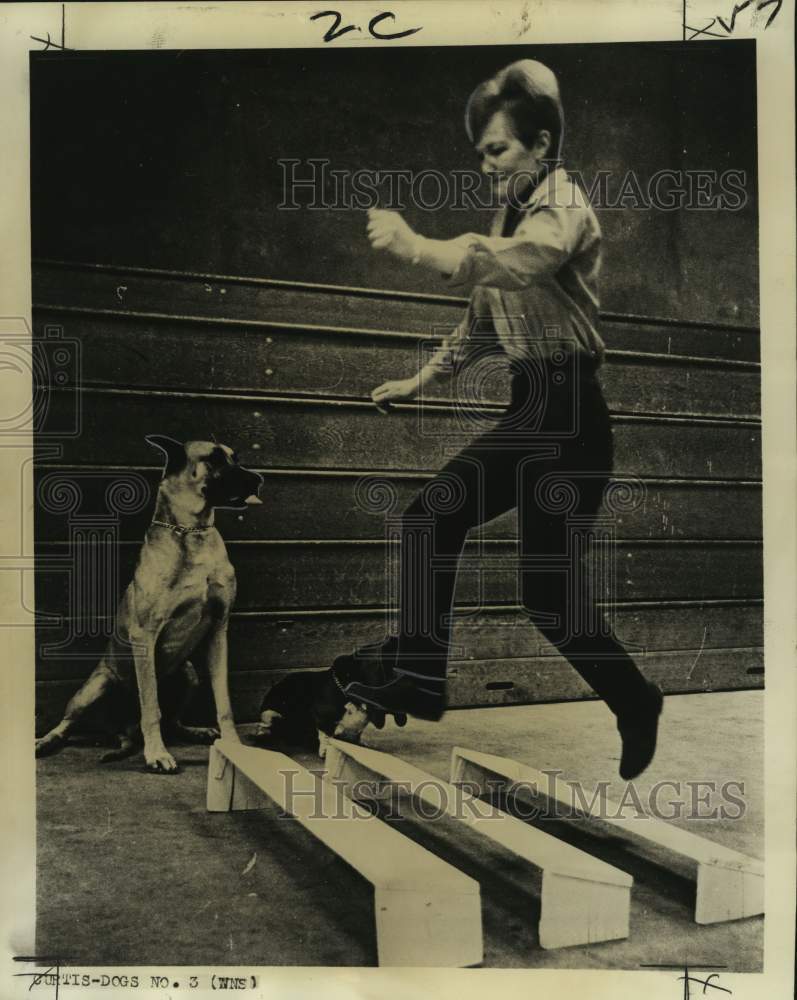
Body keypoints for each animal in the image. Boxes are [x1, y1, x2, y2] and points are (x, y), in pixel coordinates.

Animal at [36, 436, 262, 772]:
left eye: (236, 458)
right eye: (214, 459)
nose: (259, 479)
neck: (191, 532)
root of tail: (122, 729)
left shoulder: (219, 631)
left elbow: (224, 702)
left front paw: (233, 745)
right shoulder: (145, 635)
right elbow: (151, 706)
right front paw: (157, 753)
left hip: (188, 673)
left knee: (172, 721)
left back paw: (195, 730)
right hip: (94, 686)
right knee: (69, 723)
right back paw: (46, 741)